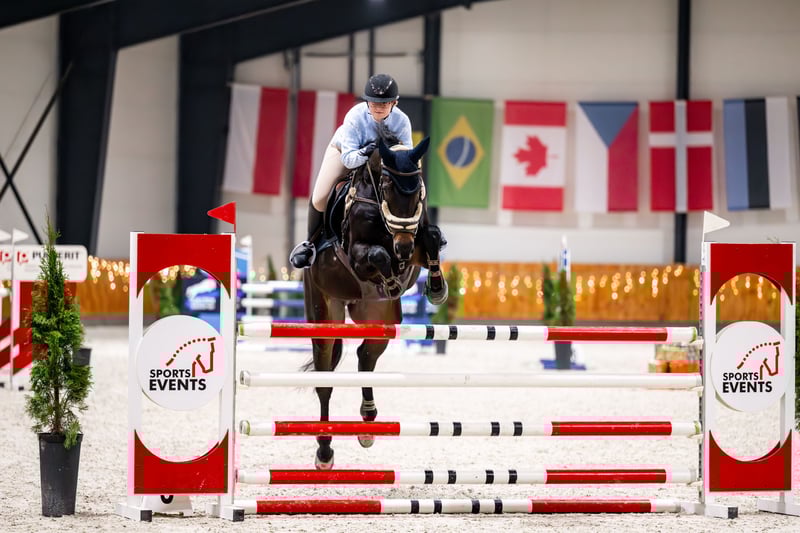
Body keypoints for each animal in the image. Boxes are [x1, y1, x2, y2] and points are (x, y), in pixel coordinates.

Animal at [303, 137, 447, 469]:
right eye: (387, 186)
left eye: (418, 189)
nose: (402, 247)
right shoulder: (358, 255)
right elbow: (379, 255)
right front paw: (391, 279)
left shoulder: (416, 246)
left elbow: (432, 236)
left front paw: (436, 288)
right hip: (324, 311)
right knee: (325, 381)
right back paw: (324, 453)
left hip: (382, 319)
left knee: (365, 357)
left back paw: (368, 421)